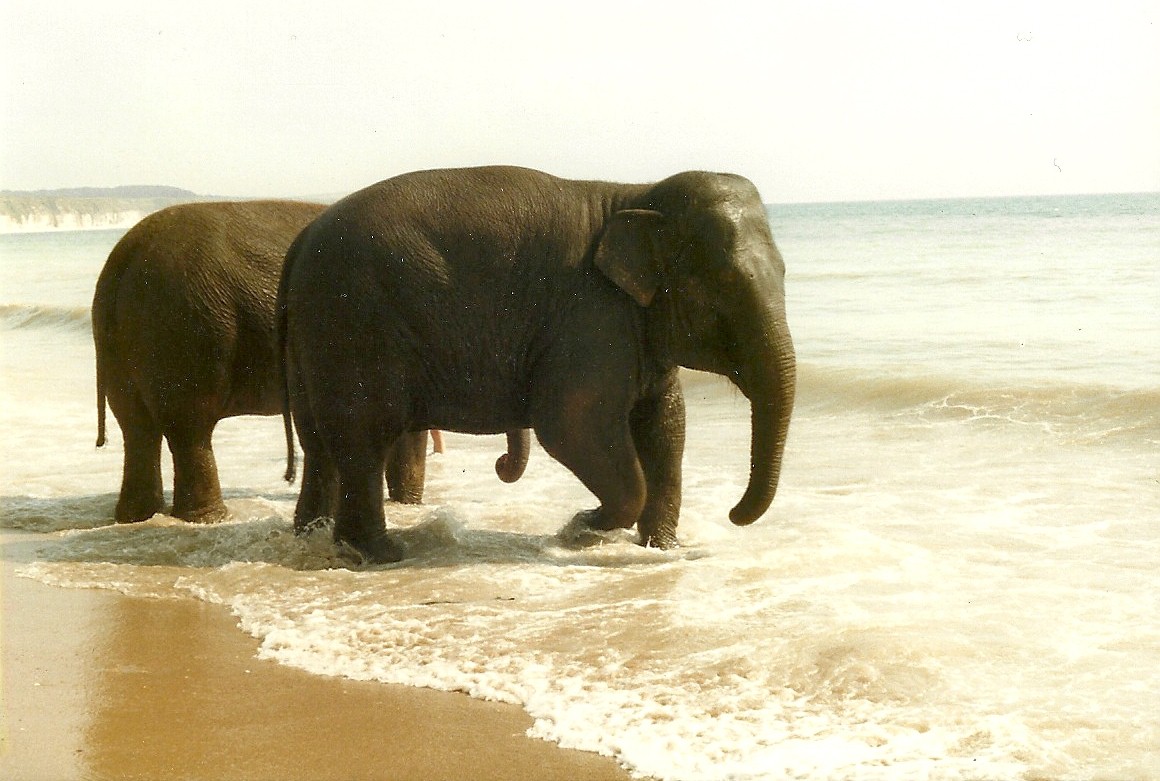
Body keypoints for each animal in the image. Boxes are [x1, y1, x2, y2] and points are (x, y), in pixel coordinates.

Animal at [93, 199, 531, 523]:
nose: (500, 463)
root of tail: (122, 257)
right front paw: (409, 505)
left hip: (123, 340)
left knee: (137, 427)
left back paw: (136, 517)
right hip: (189, 331)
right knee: (189, 426)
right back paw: (207, 519)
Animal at [278, 165, 795, 564]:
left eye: (785, 272)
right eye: (725, 282)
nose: (733, 514)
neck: (635, 195)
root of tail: (300, 241)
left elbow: (665, 424)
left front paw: (661, 549)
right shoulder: (591, 318)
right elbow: (571, 424)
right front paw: (581, 529)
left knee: (320, 442)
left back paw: (315, 537)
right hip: (353, 322)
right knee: (363, 436)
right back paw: (379, 555)